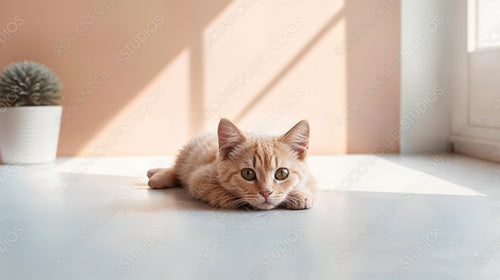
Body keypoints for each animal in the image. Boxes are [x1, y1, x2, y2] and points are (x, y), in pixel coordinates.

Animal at [146, 118, 314, 210]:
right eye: (248, 173)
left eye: (282, 173)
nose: (266, 192)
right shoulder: (199, 178)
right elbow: (217, 193)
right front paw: (230, 198)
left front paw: (300, 194)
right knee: (176, 170)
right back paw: (157, 176)